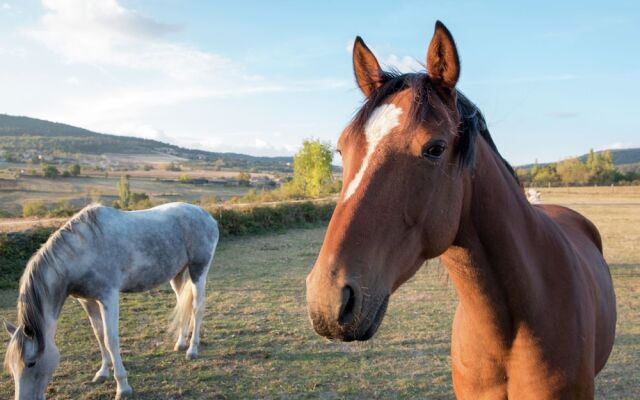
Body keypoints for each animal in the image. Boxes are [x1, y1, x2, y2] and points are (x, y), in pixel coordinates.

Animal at [3, 203, 220, 400]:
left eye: (30, 363)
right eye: (11, 366)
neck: (82, 251)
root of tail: (207, 216)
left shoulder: (108, 297)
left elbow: (111, 339)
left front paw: (122, 387)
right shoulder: (87, 301)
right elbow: (99, 335)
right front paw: (102, 372)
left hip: (198, 270)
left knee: (197, 308)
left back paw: (192, 349)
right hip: (178, 274)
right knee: (183, 305)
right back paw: (181, 343)